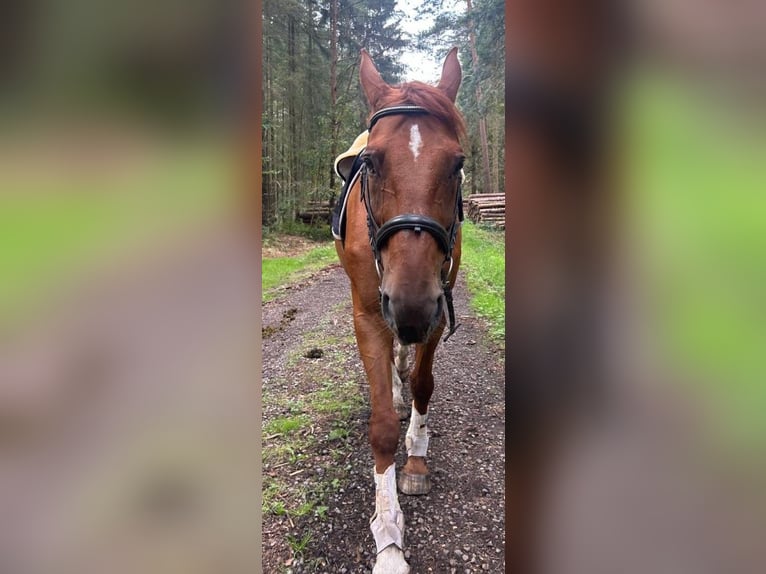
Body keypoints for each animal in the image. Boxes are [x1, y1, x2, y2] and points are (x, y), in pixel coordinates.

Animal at [336, 50, 468, 574]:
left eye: (457, 164)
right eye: (371, 163)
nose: (409, 305)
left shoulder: (435, 308)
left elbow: (424, 384)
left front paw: (415, 458)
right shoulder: (371, 315)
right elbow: (382, 427)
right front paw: (389, 538)